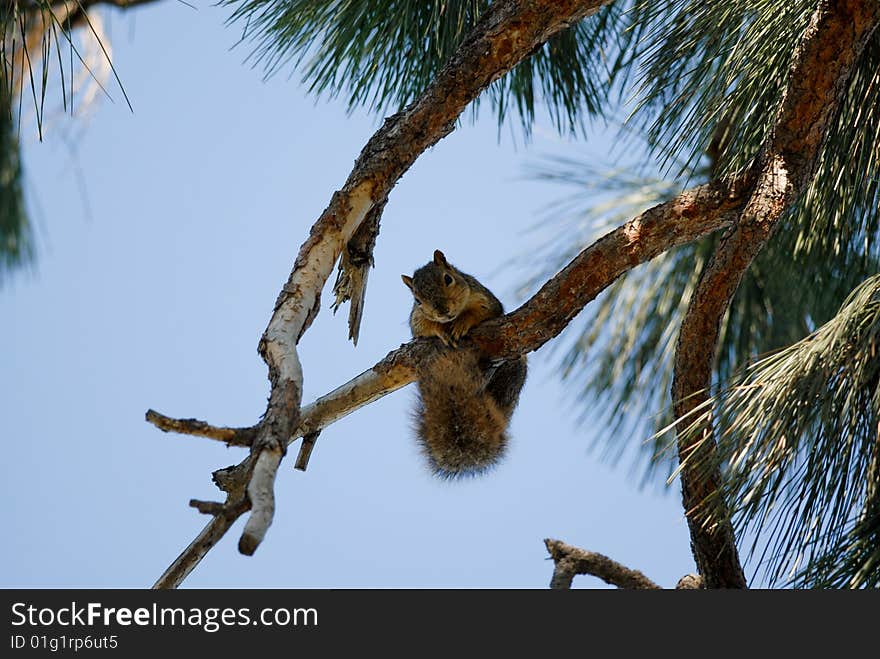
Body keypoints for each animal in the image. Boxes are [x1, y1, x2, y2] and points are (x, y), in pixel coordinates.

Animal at [402, 250, 524, 476]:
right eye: (417, 300)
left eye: (448, 279)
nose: (442, 311)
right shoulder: (417, 319)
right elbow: (424, 327)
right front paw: (441, 330)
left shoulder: (485, 299)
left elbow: (481, 312)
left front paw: (462, 323)